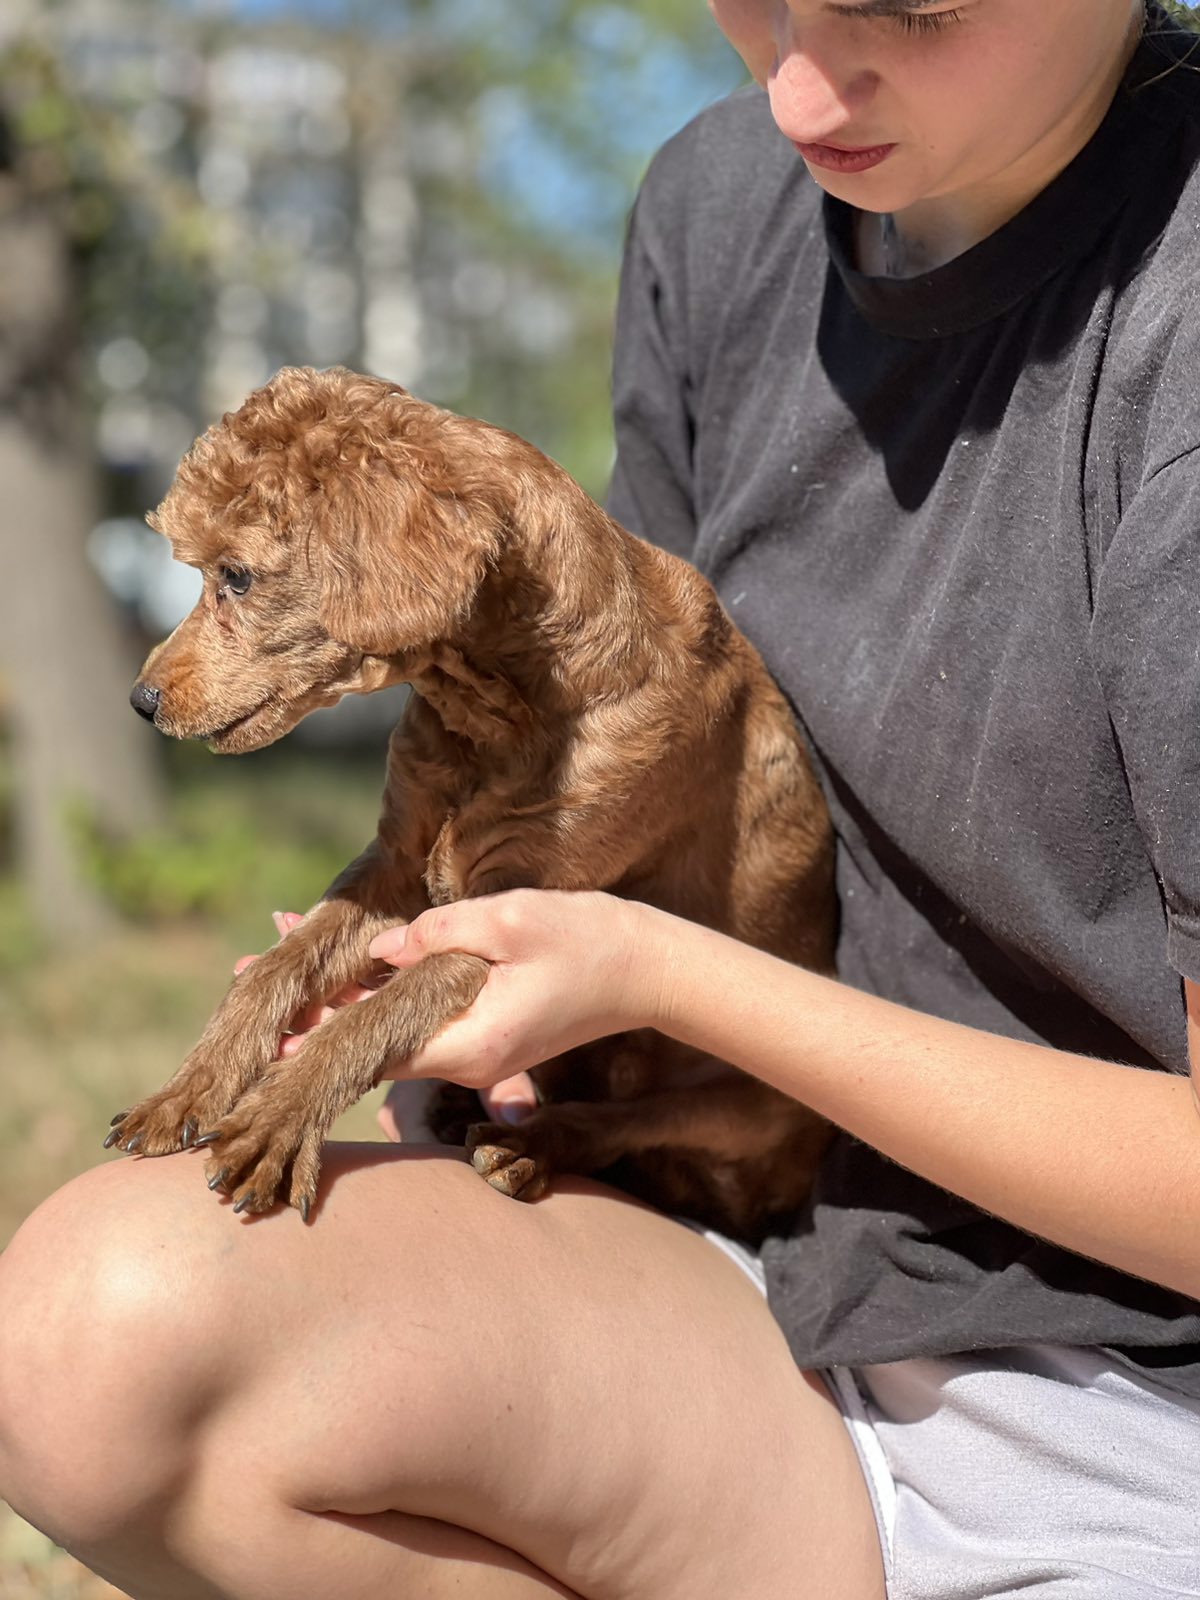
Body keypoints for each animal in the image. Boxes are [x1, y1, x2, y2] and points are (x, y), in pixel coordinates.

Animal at [112, 363, 838, 1235]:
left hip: (746, 1105)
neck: (497, 713)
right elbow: (276, 966)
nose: (142, 701)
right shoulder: (396, 865)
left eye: (237, 576)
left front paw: (278, 1119)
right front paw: (190, 1087)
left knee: (614, 1123)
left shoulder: (505, 918)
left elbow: (371, 1016)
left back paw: (523, 1148)